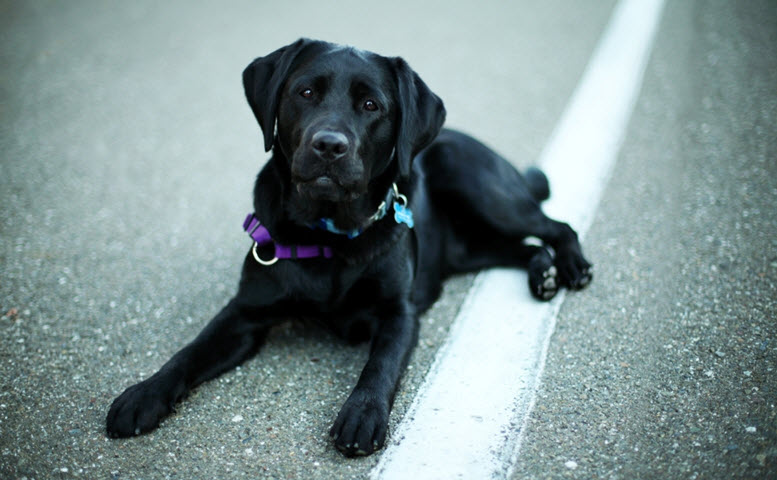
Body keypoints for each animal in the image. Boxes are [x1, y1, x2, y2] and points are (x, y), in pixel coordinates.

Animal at [104, 39, 588, 456]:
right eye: (305, 92)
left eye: (371, 105)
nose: (329, 145)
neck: (328, 236)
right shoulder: (244, 313)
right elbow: (189, 351)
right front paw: (143, 394)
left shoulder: (400, 313)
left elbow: (380, 365)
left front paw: (362, 414)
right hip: (468, 247)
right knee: (518, 246)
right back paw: (542, 273)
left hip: (476, 182)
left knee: (554, 225)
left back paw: (571, 266)